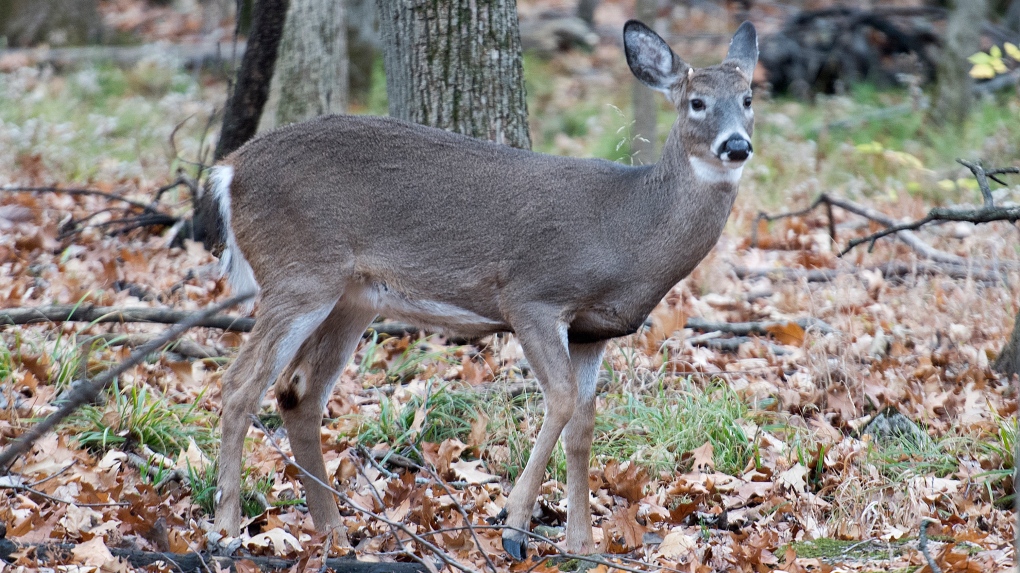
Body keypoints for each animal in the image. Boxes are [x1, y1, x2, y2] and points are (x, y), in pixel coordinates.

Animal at [209, 18, 758, 558]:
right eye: (697, 102)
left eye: (748, 98)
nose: (736, 145)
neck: (630, 229)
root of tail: (229, 170)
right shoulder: (531, 296)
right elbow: (561, 399)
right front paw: (514, 525)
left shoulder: (592, 330)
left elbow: (582, 425)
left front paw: (582, 546)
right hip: (299, 273)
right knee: (239, 385)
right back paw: (227, 530)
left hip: (353, 296)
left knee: (297, 392)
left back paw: (335, 536)